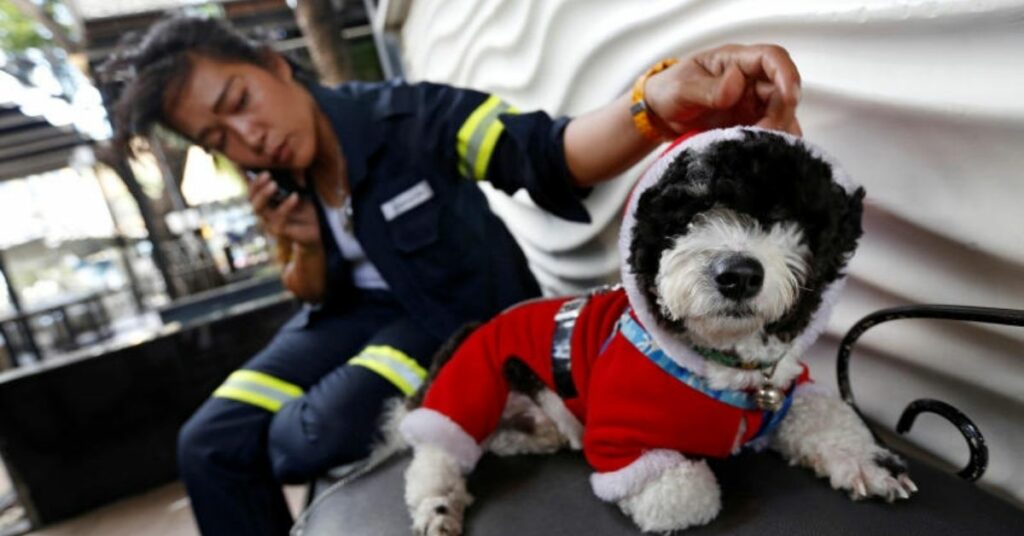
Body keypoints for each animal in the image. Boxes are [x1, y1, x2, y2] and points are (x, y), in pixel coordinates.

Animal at [395, 128, 917, 532]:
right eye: (686, 217)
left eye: (786, 217)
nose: (737, 274)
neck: (719, 367)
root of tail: (474, 328)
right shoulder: (619, 440)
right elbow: (690, 494)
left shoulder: (787, 390)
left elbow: (827, 417)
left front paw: (868, 462)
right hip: (471, 384)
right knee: (435, 457)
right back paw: (438, 507)